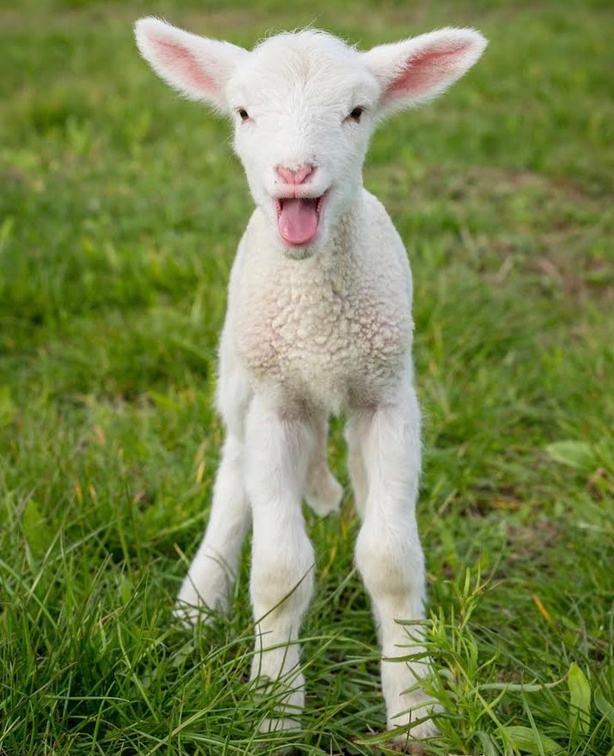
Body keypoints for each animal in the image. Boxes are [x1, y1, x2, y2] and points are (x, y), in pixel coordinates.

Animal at [135, 17, 487, 747]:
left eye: (357, 112)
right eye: (243, 112)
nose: (294, 173)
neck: (318, 329)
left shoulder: (389, 401)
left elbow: (391, 560)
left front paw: (415, 706)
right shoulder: (277, 406)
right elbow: (278, 570)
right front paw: (272, 707)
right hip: (239, 377)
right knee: (233, 474)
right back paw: (199, 601)